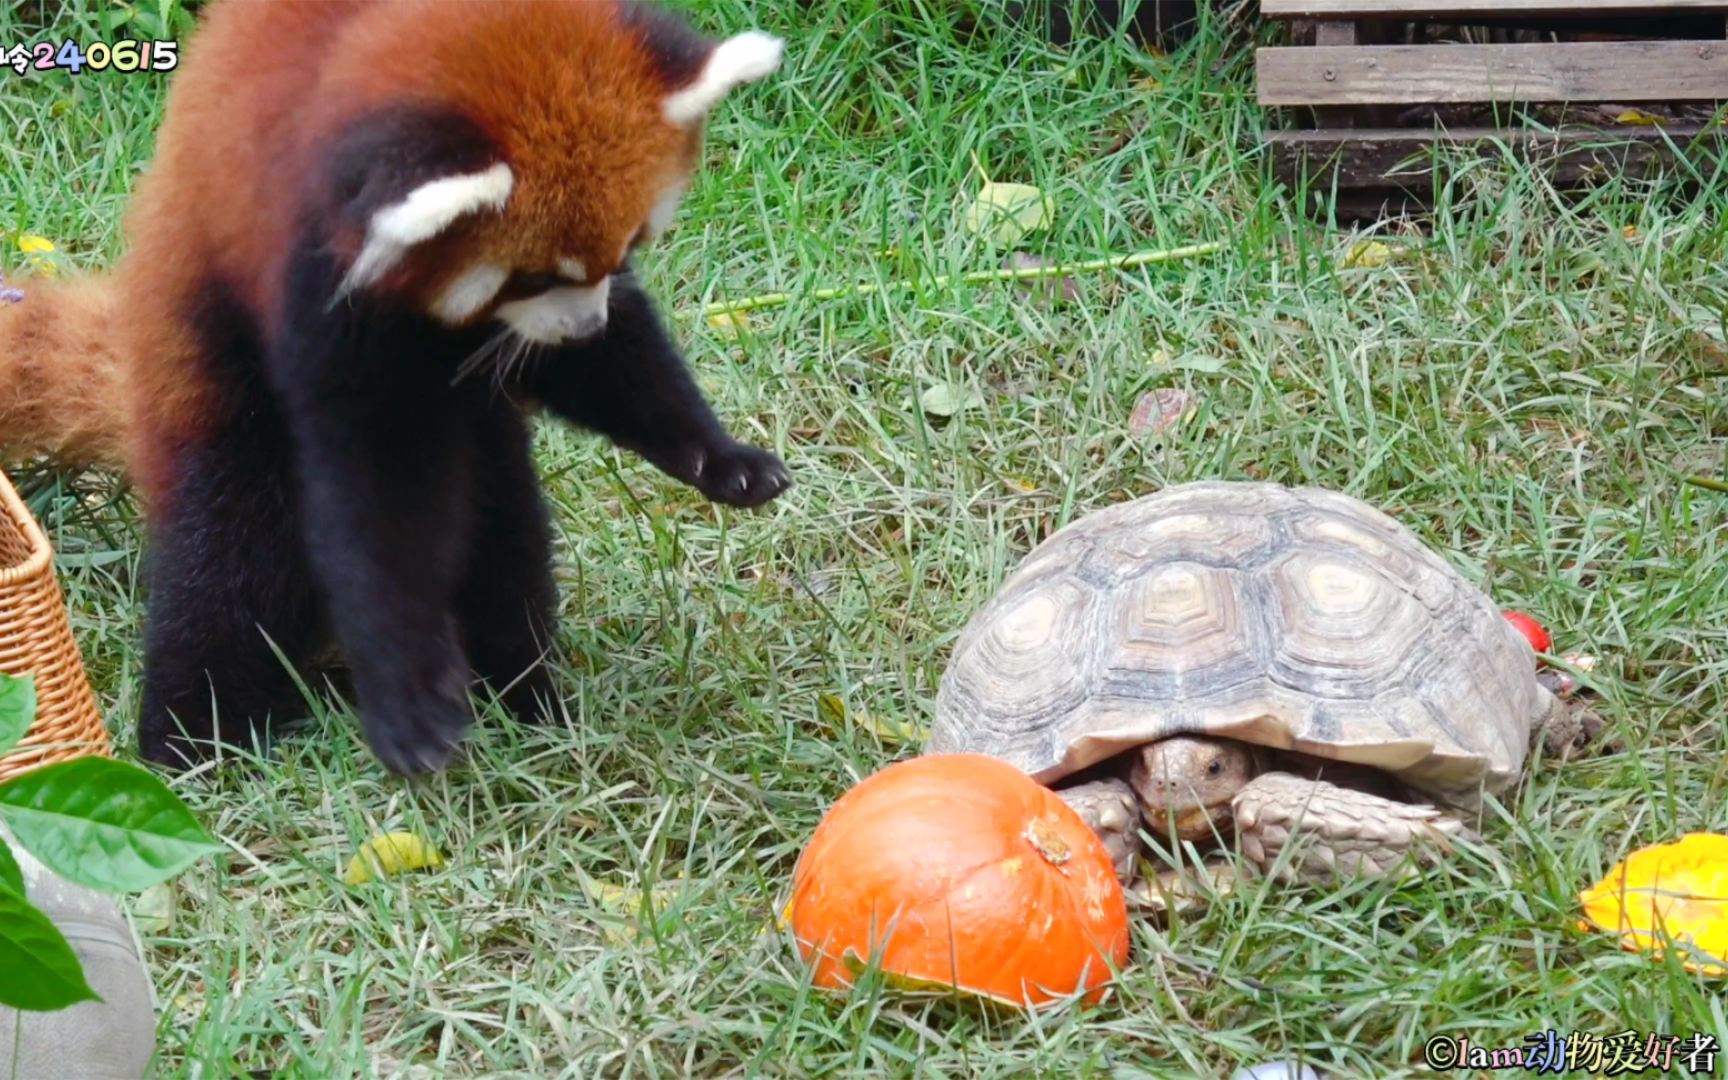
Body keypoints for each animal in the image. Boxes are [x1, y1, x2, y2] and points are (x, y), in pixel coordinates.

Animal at [0, 0, 791, 770]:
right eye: (531, 275)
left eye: (629, 245)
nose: (583, 323)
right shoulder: (310, 271)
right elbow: (377, 501)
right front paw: (406, 698)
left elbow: (610, 368)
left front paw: (723, 460)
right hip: (215, 399)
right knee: (230, 562)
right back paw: (188, 741)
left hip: (485, 449)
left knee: (504, 543)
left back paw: (527, 699)